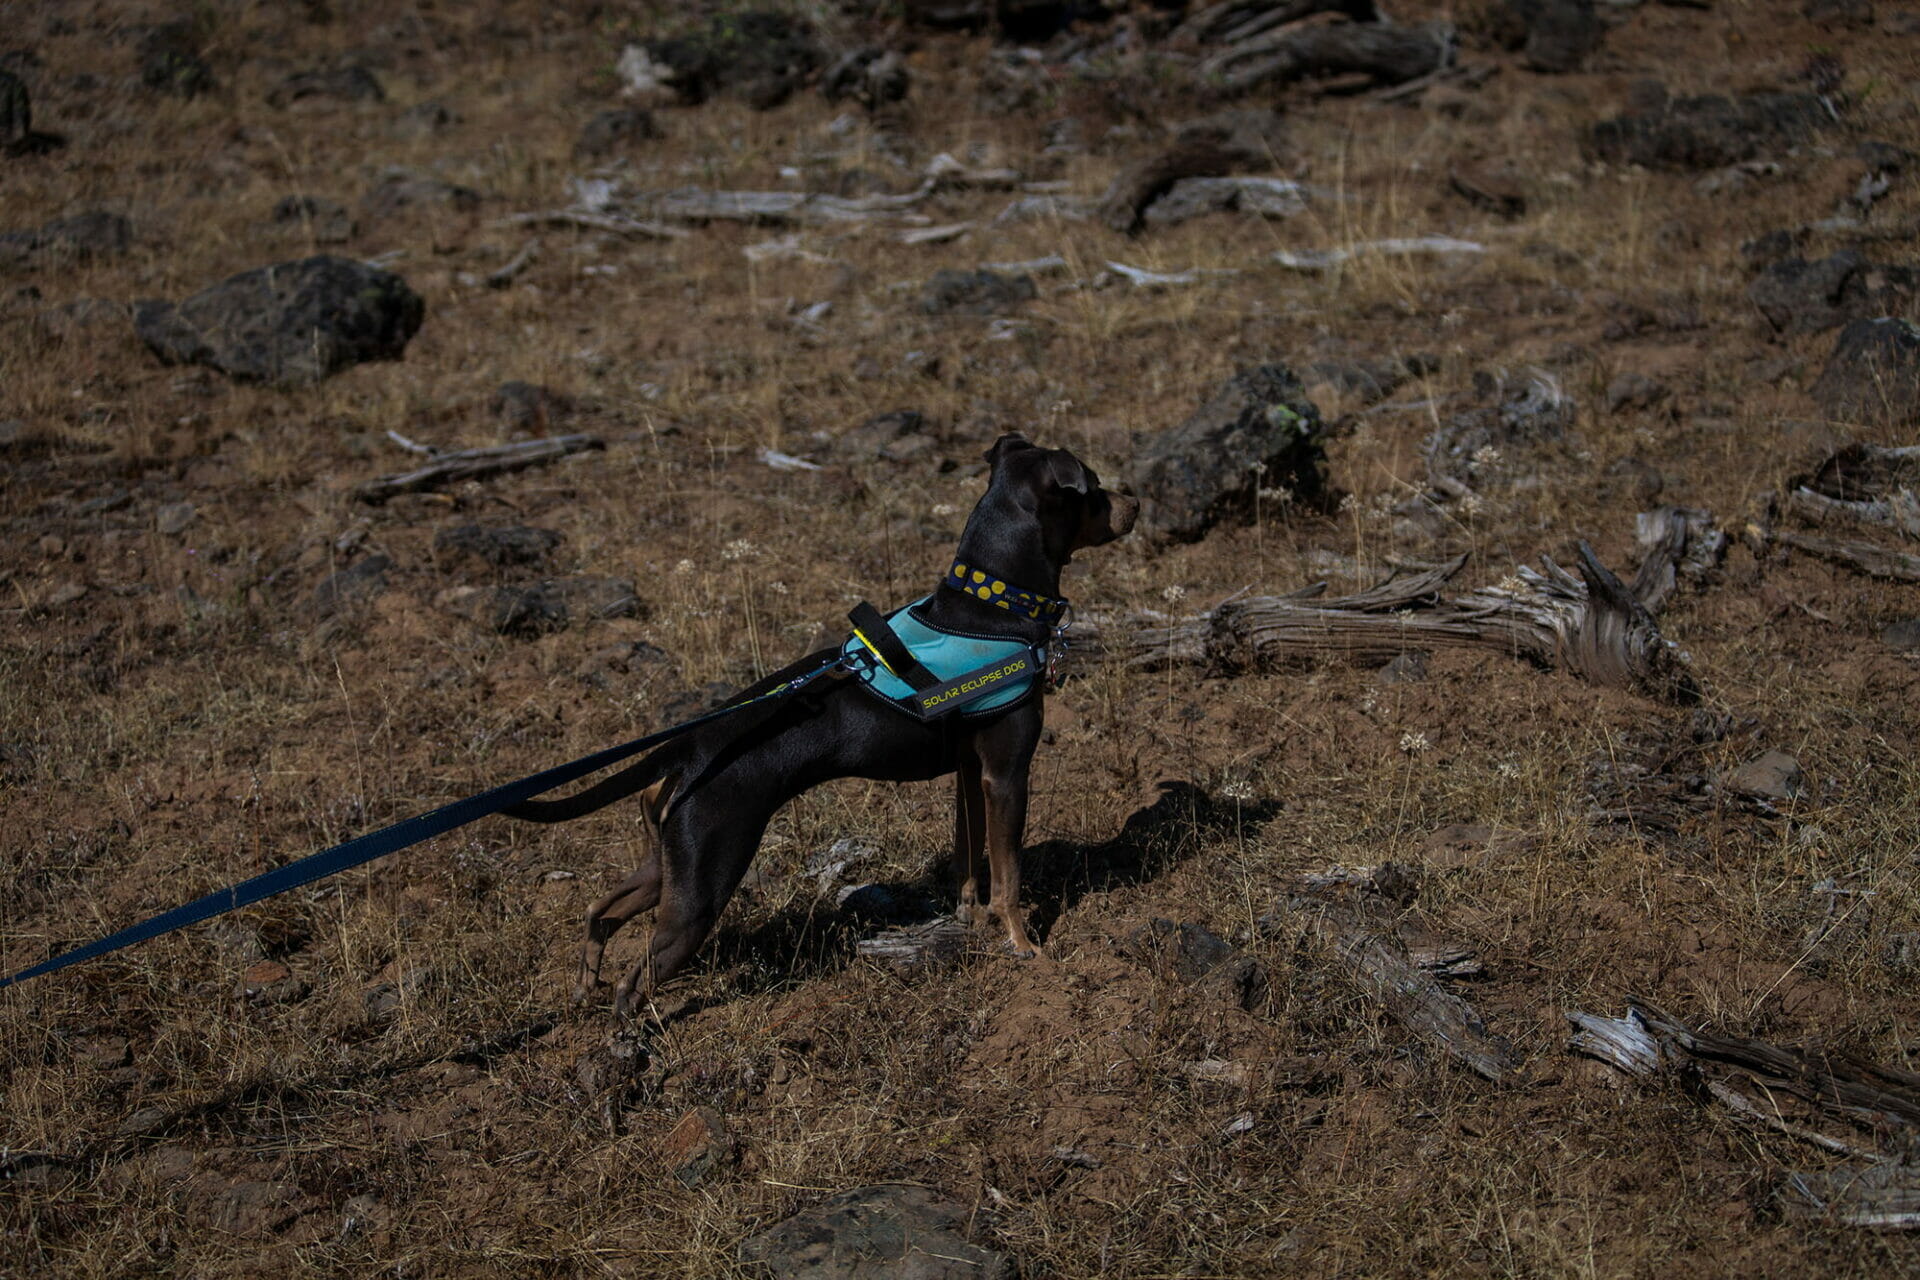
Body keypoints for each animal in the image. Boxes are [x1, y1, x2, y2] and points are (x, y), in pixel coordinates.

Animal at [508, 433, 1137, 1018]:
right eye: (1093, 487)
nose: (1134, 499)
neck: (994, 606)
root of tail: (686, 747)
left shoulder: (967, 774)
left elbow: (967, 861)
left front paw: (970, 920)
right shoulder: (1007, 773)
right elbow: (1008, 877)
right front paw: (1024, 947)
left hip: (666, 865)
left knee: (600, 911)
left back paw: (585, 985)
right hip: (703, 885)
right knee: (636, 976)